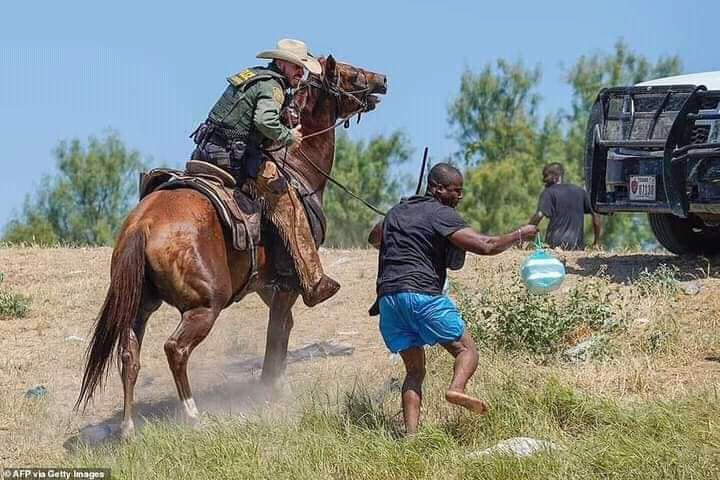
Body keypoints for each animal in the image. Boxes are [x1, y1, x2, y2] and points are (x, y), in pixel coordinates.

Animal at [75, 56, 386, 438]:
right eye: (349, 72)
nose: (382, 80)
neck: (298, 167)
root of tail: (142, 226)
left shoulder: (267, 285)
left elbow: (283, 329)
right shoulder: (287, 284)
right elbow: (276, 335)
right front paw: (271, 389)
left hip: (140, 305)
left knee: (129, 355)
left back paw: (128, 427)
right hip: (205, 306)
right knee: (175, 349)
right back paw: (192, 414)